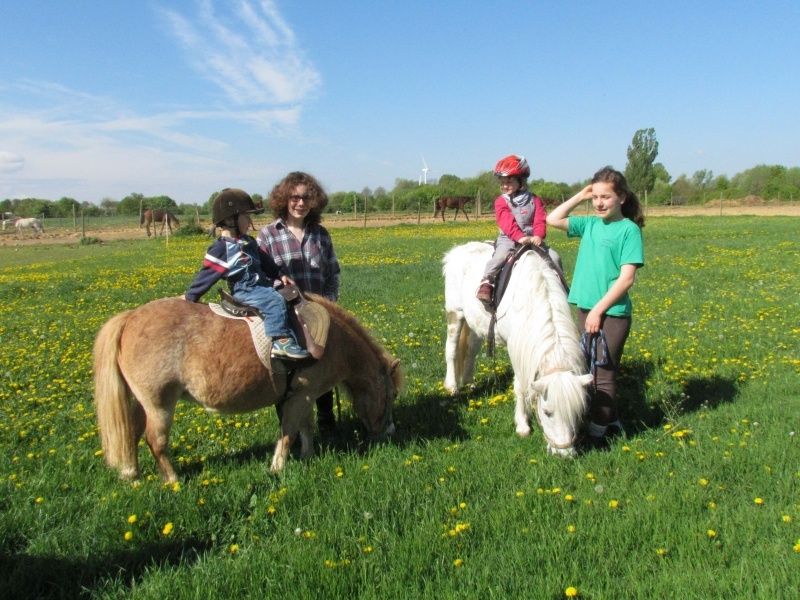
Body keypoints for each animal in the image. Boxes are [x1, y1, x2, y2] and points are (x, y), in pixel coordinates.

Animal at [94, 292, 404, 480]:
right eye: (390, 395)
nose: (389, 431)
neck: (332, 339)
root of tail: (130, 319)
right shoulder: (299, 397)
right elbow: (289, 433)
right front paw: (277, 467)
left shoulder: (304, 396)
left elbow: (305, 427)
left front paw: (308, 455)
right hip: (159, 404)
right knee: (155, 441)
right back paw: (172, 480)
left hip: (141, 402)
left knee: (131, 432)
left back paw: (131, 474)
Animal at [440, 241, 592, 458]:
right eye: (547, 412)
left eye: (577, 411)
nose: (565, 454)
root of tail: (456, 250)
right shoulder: (516, 349)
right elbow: (520, 385)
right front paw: (522, 425)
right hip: (455, 313)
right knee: (451, 350)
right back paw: (452, 386)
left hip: (475, 322)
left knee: (470, 351)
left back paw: (469, 383)